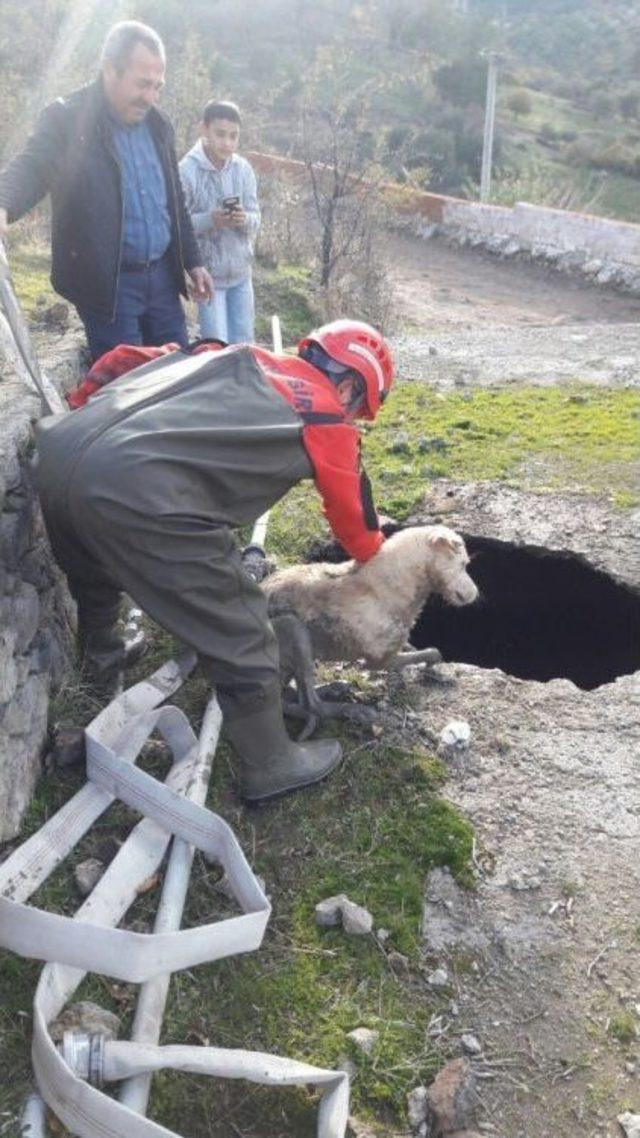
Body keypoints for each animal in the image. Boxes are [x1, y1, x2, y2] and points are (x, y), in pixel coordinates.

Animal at [261, 525, 476, 732]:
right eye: (463, 564)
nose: (475, 594)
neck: (390, 585)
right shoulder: (380, 661)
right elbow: (432, 652)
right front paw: (432, 666)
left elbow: (420, 649)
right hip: (294, 629)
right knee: (311, 704)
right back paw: (353, 710)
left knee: (292, 697)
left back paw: (333, 688)